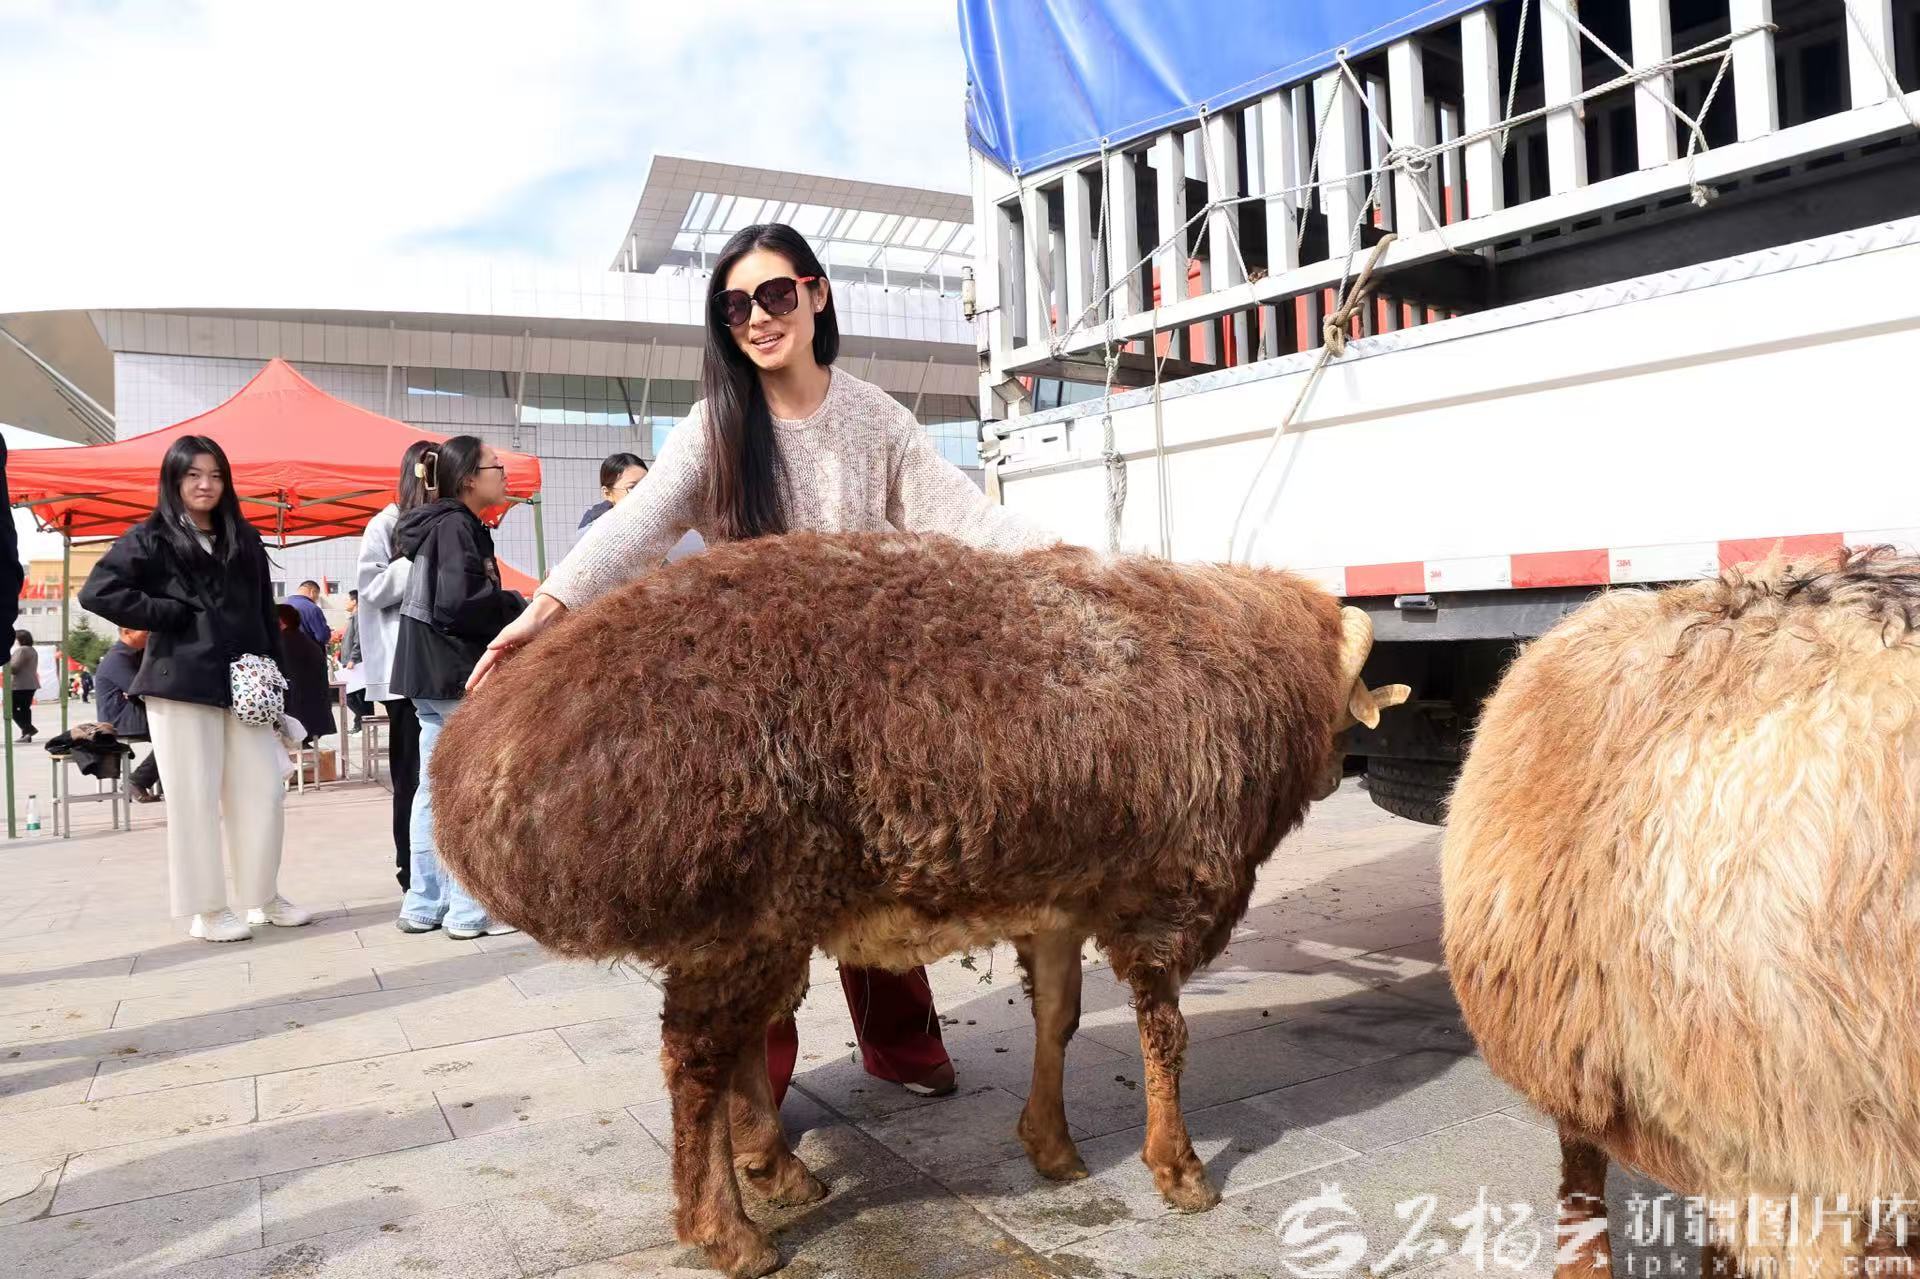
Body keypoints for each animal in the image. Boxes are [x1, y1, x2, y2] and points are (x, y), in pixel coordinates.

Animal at [431, 530, 1408, 1278]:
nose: (1339, 769)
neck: (1244, 667)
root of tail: (482, 755)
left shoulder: (1057, 902)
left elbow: (1057, 1018)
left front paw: (1051, 1146)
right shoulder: (1165, 893)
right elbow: (1164, 1034)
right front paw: (1179, 1170)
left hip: (757, 923)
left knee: (736, 1045)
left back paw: (776, 1170)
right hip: (735, 913)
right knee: (695, 1062)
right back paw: (729, 1231)